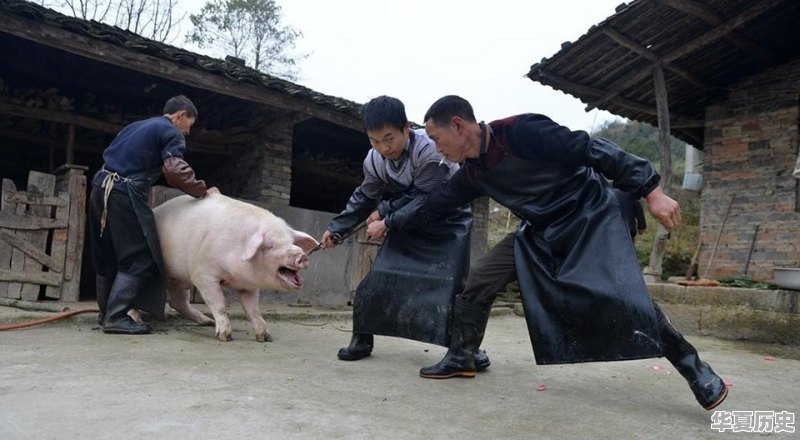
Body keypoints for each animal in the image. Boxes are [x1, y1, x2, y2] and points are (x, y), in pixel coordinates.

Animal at [153, 191, 318, 342]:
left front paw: (265, 338)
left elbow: (253, 309)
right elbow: (219, 304)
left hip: (178, 279)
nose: (302, 255)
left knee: (177, 301)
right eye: (270, 245)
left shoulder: (249, 286)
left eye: (291, 241)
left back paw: (207, 322)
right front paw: (225, 337)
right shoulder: (203, 274)